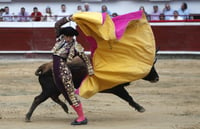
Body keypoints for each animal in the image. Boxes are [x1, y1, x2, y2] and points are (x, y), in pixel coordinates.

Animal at [25, 57, 159, 121]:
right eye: (149, 67)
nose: (157, 78)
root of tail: (43, 67)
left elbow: (127, 97)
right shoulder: (117, 88)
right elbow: (128, 97)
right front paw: (140, 108)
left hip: (54, 89)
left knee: (52, 97)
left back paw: (65, 108)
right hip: (50, 89)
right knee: (38, 99)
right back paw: (28, 117)